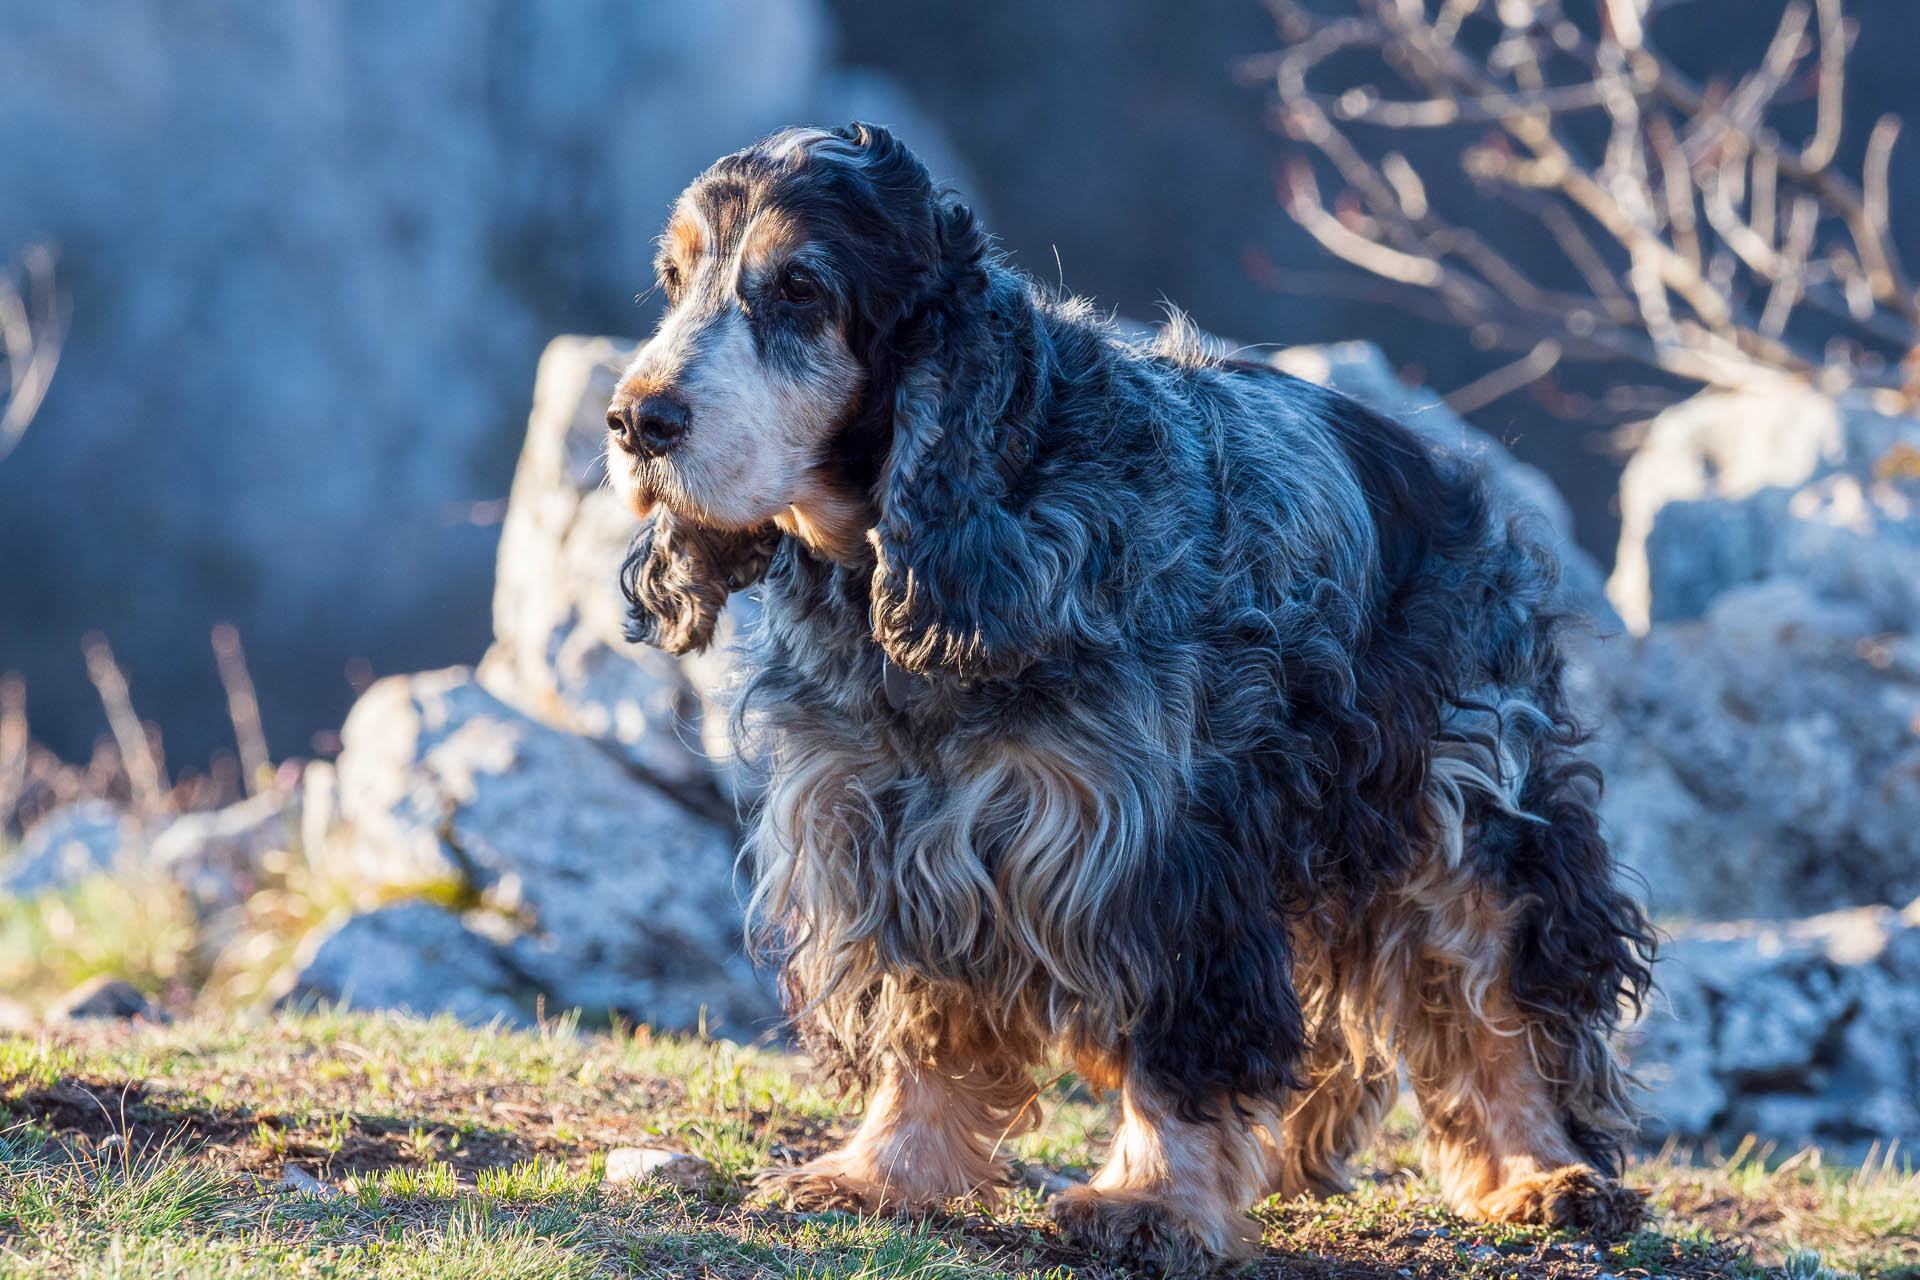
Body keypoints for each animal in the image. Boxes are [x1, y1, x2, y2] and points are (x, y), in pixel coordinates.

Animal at [606, 124, 1658, 1274]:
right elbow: (925, 1022)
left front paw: (1153, 1200)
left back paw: (1542, 1174)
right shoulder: (885, 830)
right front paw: (884, 1171)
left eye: (799, 287)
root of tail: (1443, 470)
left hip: (1461, 802)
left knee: (1496, 997)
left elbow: (1178, 1038)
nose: (634, 421)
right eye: (673, 280)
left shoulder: (1157, 851)